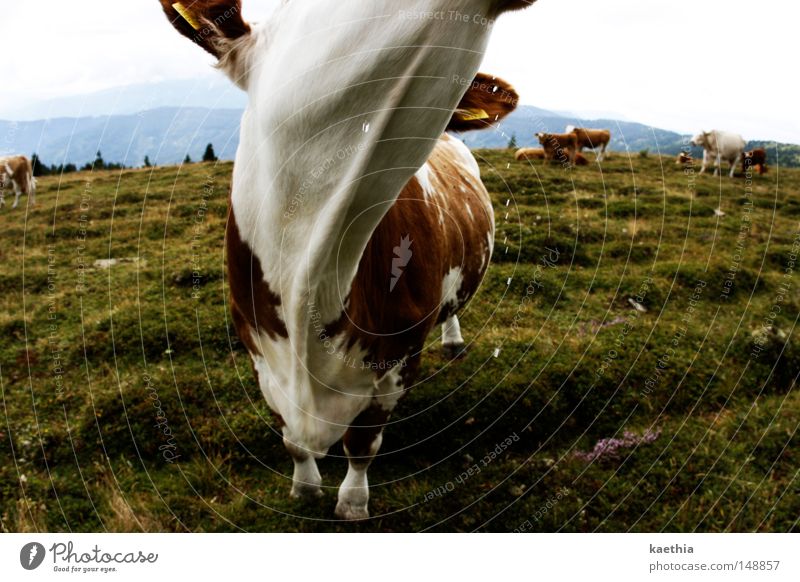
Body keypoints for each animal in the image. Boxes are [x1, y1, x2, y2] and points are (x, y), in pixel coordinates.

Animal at [161, 0, 536, 520]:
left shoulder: (400, 356)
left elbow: (364, 443)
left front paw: (352, 503)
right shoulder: (257, 347)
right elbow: (291, 439)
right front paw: (304, 488)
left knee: (452, 307)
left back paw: (453, 339)